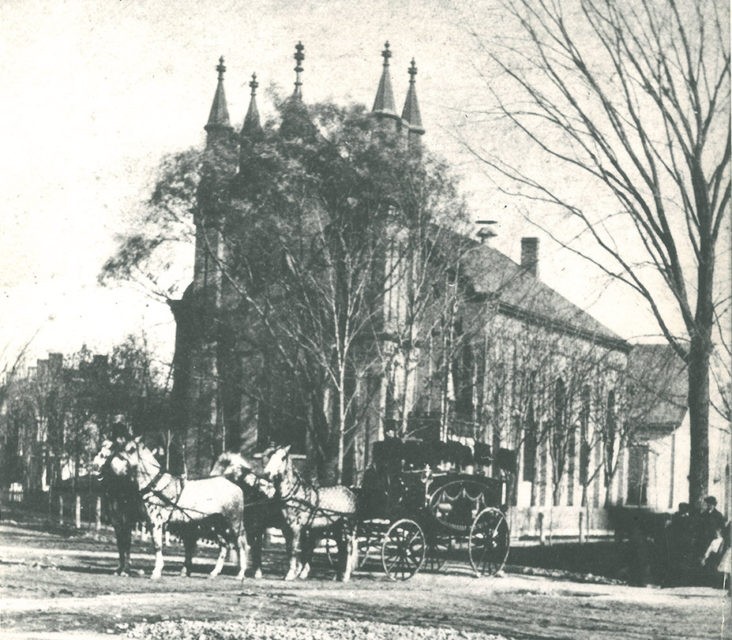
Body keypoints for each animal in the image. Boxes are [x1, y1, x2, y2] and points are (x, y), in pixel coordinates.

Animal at [95, 440, 249, 580]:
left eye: (121, 454)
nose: (96, 466)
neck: (154, 485)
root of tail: (232, 484)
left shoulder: (154, 522)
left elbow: (156, 545)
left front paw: (156, 572)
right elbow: (126, 544)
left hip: (233, 524)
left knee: (241, 545)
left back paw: (240, 574)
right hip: (216, 526)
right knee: (224, 546)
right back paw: (214, 573)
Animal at [262, 444, 358, 580]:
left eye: (283, 458)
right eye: (271, 456)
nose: (267, 473)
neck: (295, 494)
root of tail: (350, 492)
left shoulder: (295, 527)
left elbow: (294, 549)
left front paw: (291, 574)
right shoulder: (285, 528)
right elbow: (288, 549)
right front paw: (294, 572)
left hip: (347, 527)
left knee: (348, 548)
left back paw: (345, 576)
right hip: (336, 528)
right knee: (341, 548)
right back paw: (337, 575)